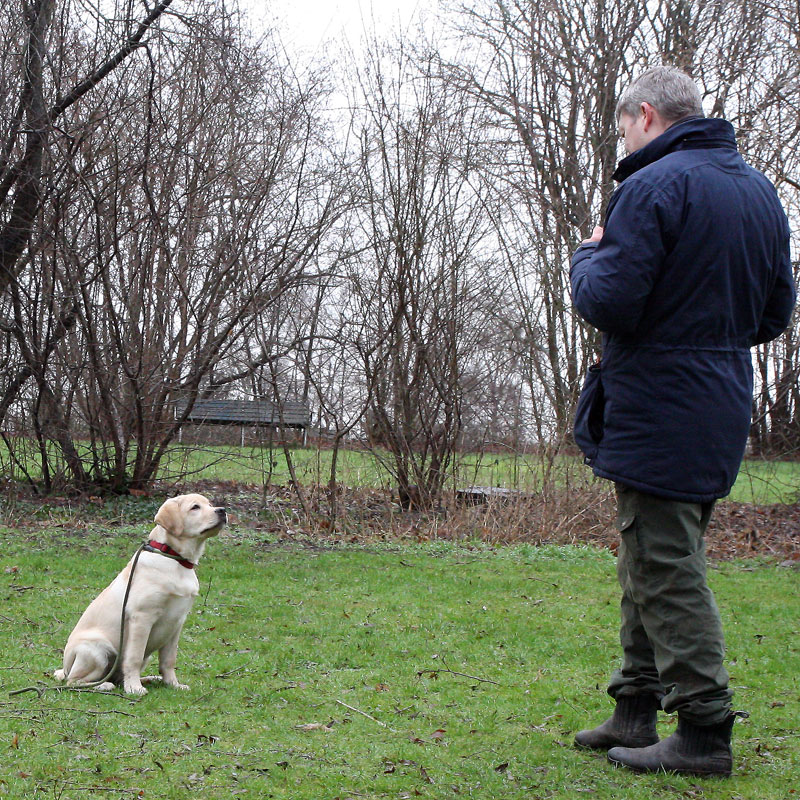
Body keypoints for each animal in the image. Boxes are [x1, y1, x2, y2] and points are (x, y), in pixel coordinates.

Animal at [55, 494, 225, 692]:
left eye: (210, 504)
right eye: (195, 507)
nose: (222, 510)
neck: (173, 557)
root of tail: (65, 668)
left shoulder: (177, 622)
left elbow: (169, 660)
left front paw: (173, 684)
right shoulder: (142, 618)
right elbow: (133, 658)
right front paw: (135, 688)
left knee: (117, 678)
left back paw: (150, 678)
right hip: (97, 650)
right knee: (74, 681)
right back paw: (104, 685)